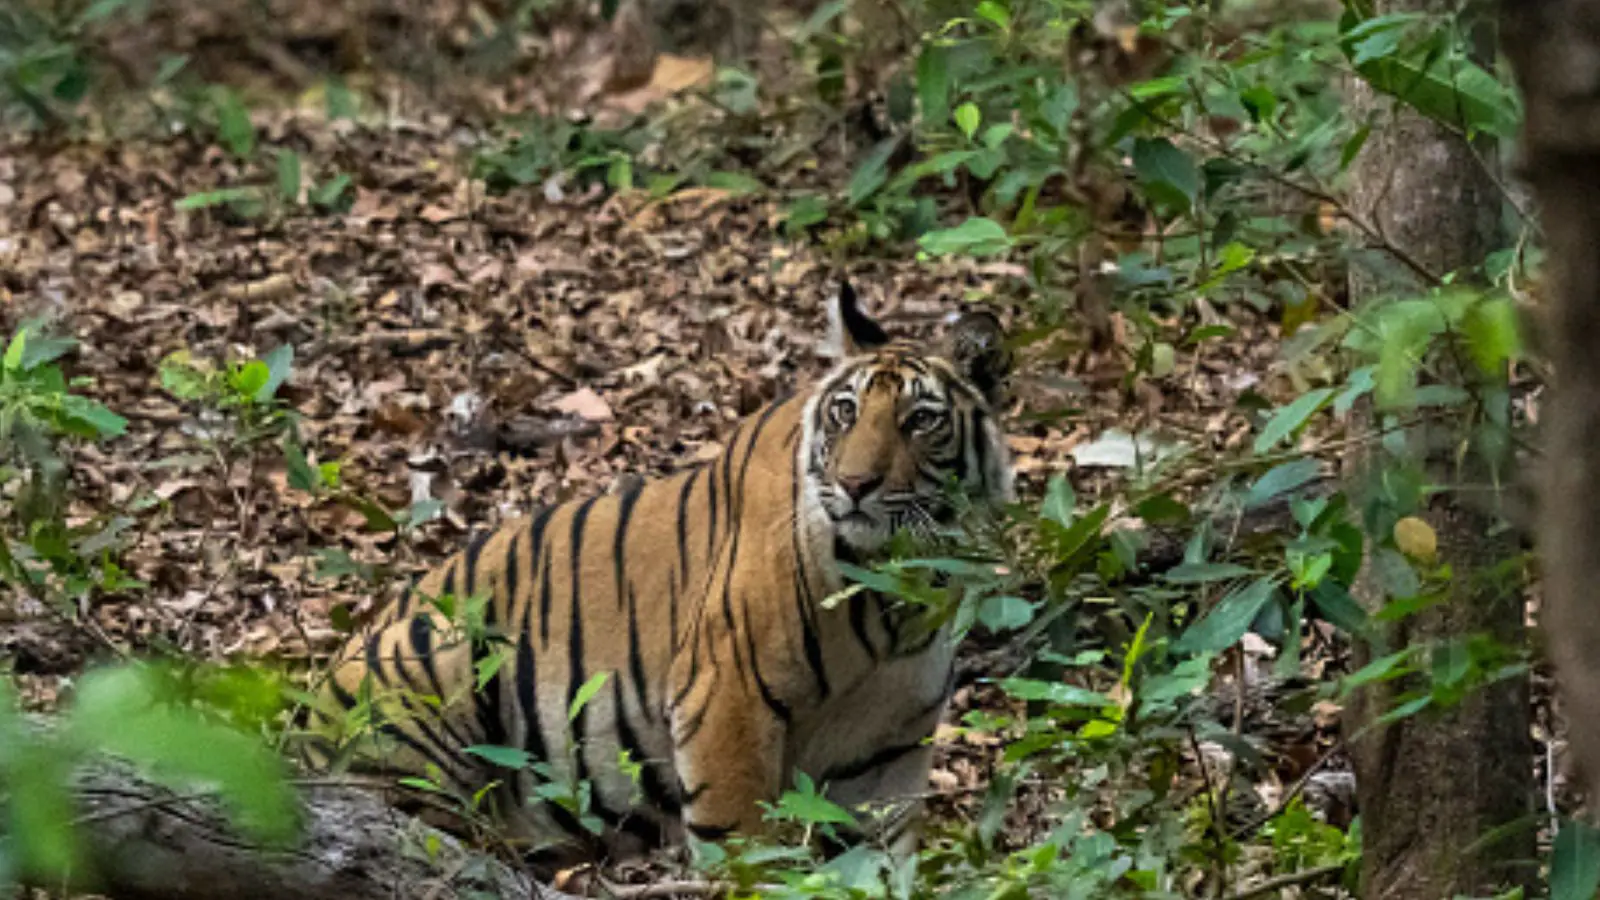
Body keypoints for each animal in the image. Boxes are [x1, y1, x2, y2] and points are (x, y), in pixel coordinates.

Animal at [301, 281, 1014, 864]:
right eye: (845, 412)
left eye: (920, 420)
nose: (855, 484)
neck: (901, 591)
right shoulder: (725, 697)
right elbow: (746, 849)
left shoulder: (885, 749)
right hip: (434, 655)